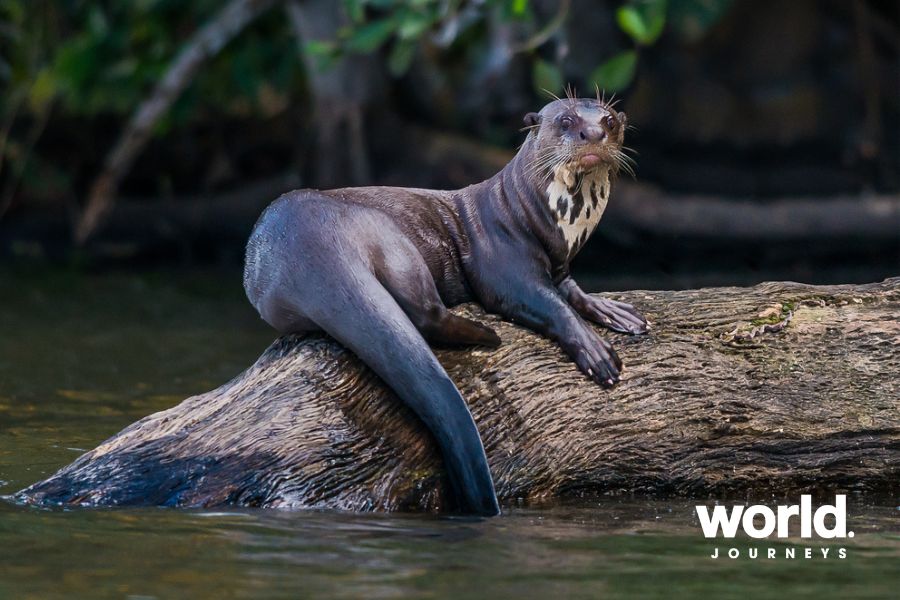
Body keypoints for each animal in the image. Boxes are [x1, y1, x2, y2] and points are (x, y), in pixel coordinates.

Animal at [243, 95, 648, 516]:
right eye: (566, 121)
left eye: (609, 120)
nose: (594, 133)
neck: (537, 218)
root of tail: (309, 245)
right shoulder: (503, 264)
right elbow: (547, 304)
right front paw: (595, 351)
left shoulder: (560, 265)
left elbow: (572, 291)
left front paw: (615, 312)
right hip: (389, 237)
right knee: (425, 313)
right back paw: (487, 335)